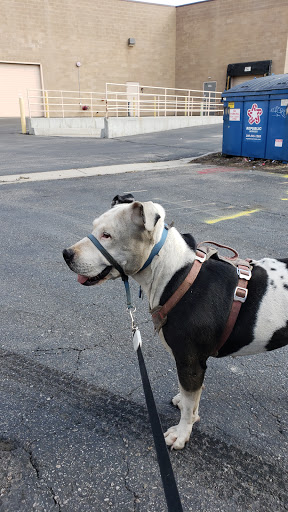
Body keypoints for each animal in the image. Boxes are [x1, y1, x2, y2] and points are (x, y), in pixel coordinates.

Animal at [63, 195, 288, 448]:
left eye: (107, 235)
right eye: (94, 228)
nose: (66, 253)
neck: (173, 273)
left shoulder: (189, 361)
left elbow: (190, 400)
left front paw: (182, 432)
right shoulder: (192, 363)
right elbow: (192, 397)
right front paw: (189, 415)